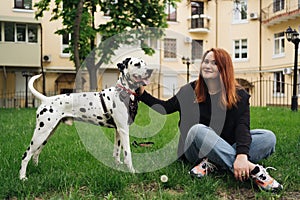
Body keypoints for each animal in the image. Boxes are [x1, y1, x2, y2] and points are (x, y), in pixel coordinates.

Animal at [19, 56, 154, 180]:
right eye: (137, 64)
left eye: (145, 63)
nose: (150, 70)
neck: (123, 93)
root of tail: (46, 99)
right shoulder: (124, 130)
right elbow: (127, 154)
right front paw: (132, 171)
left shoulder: (118, 131)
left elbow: (116, 152)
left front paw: (118, 166)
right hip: (41, 134)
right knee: (26, 155)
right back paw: (22, 177)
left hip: (47, 134)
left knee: (35, 153)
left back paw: (36, 168)